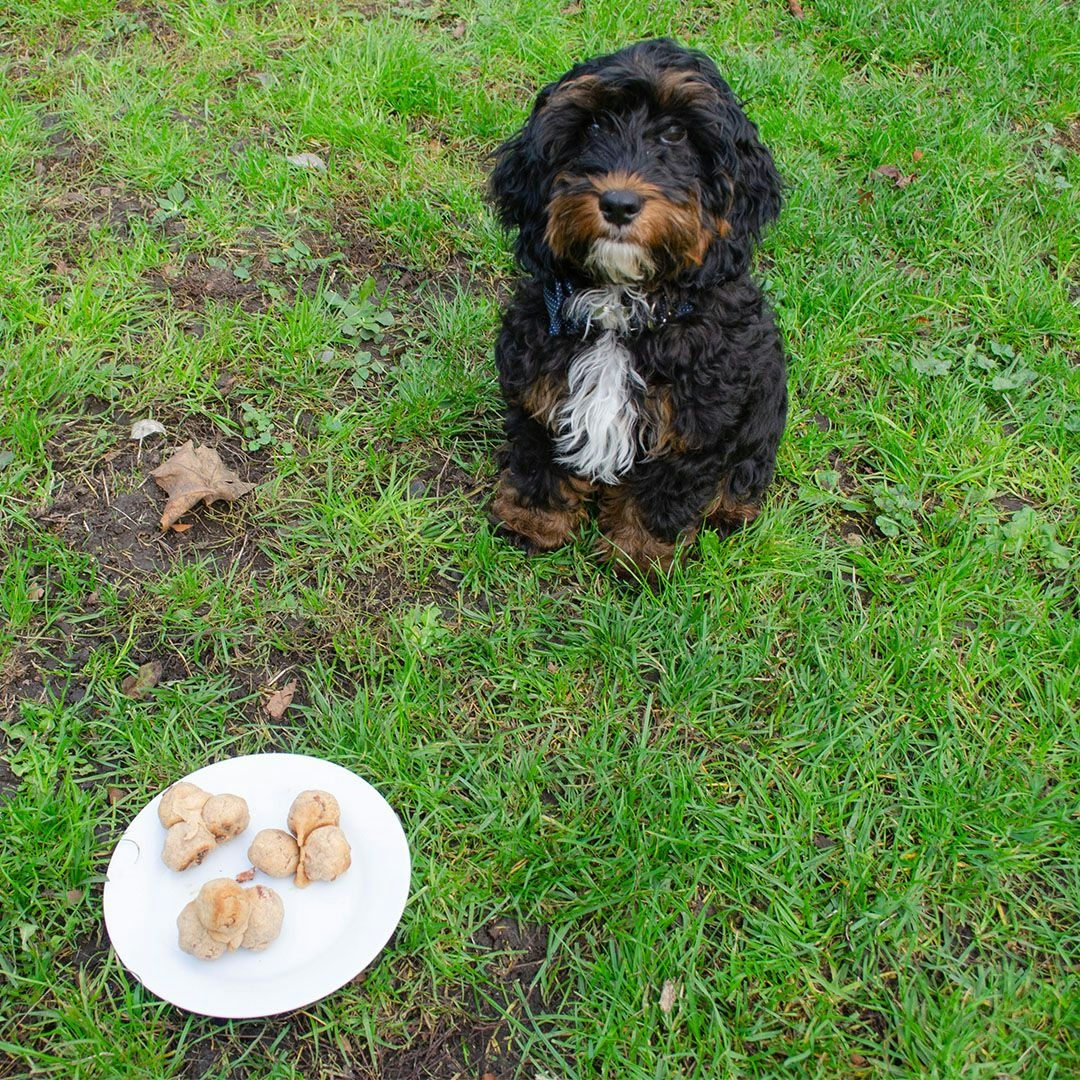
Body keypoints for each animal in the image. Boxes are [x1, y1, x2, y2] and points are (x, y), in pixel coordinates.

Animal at [488, 39, 786, 583]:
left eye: (676, 134)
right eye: (593, 126)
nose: (619, 203)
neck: (622, 311)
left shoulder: (694, 424)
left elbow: (662, 494)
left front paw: (640, 558)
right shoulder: (540, 384)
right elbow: (540, 457)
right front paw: (532, 522)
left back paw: (732, 507)